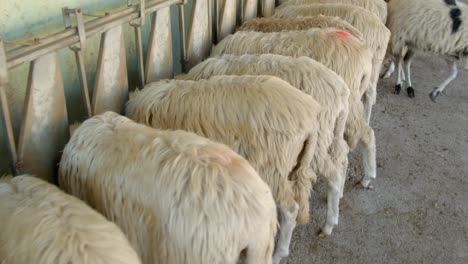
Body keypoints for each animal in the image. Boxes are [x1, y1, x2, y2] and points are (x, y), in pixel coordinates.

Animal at [177, 54, 352, 237]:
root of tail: (342, 89)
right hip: (332, 132)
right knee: (342, 154)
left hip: (309, 148)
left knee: (331, 174)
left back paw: (328, 224)